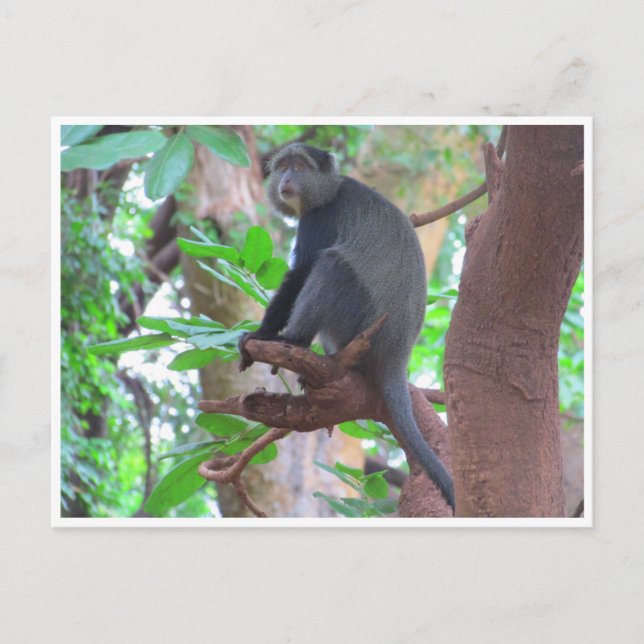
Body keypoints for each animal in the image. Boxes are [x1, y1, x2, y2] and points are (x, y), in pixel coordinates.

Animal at [238, 143, 455, 510]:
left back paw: (295, 341)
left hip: (360, 317)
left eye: (299, 167)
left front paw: (262, 334)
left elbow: (302, 271)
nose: (286, 180)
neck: (330, 189)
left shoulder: (319, 219)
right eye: (282, 166)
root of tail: (398, 351)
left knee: (332, 264)